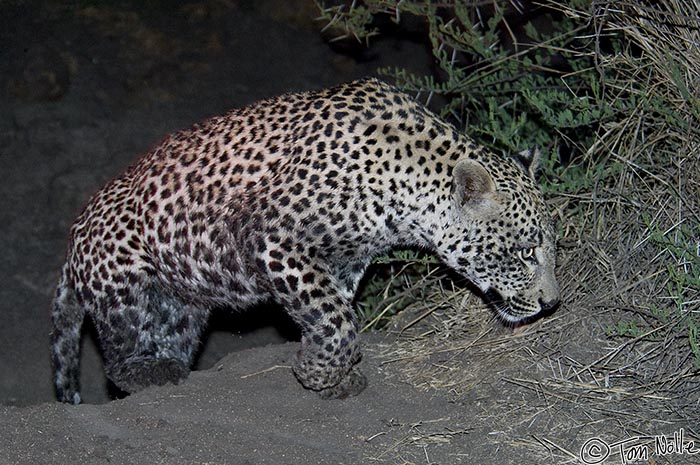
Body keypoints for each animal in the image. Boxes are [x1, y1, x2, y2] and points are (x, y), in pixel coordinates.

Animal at [50, 77, 556, 402]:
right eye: (526, 252)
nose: (552, 303)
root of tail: (74, 240)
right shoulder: (273, 240)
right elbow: (337, 319)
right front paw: (316, 373)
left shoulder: (346, 261)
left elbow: (338, 311)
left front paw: (334, 372)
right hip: (124, 287)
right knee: (118, 355)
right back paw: (150, 374)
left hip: (183, 308)